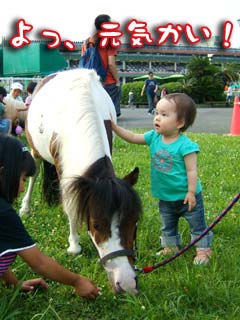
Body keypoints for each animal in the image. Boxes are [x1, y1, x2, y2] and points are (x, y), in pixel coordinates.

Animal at [20, 69, 142, 296]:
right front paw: (74, 245)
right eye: (95, 224)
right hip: (36, 151)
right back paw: (25, 207)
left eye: (134, 221)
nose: (127, 283)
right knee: (34, 174)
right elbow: (70, 204)